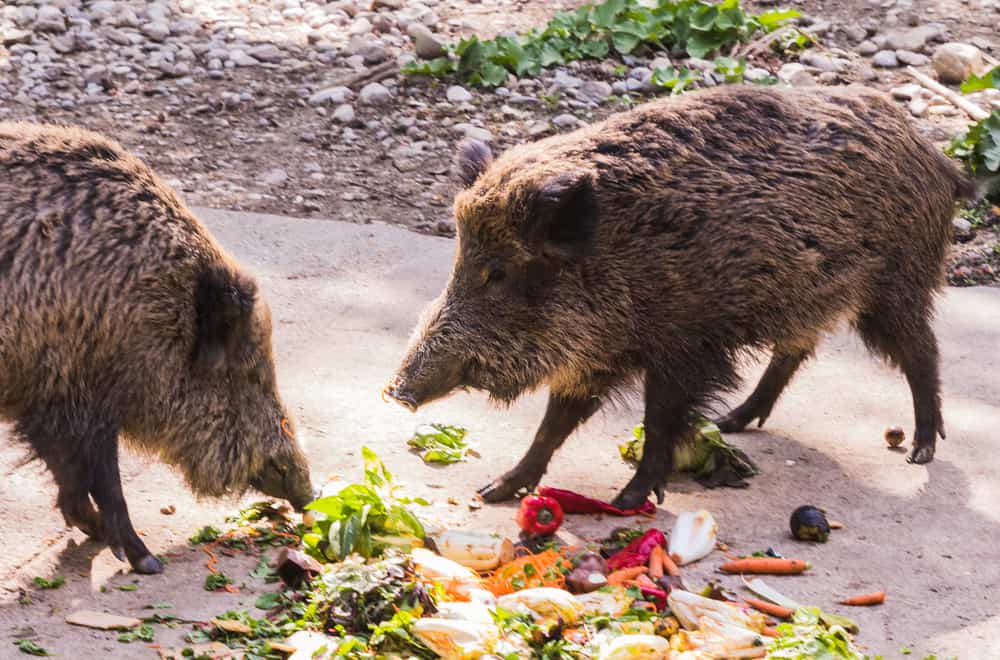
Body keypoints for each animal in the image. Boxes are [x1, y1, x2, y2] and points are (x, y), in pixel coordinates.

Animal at [0, 122, 314, 573]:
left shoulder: (54, 397)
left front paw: (100, 536)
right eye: (252, 374)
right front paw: (145, 561)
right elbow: (104, 481)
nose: (310, 493)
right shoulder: (75, 397)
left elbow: (74, 477)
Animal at [385, 85, 973, 510]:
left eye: (499, 272)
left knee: (922, 352)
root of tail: (939, 160)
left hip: (895, 285)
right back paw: (735, 421)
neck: (616, 255)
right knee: (796, 350)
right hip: (811, 297)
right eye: (459, 261)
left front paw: (628, 498)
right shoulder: (597, 354)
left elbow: (659, 420)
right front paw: (494, 490)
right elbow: (555, 423)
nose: (396, 392)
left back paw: (920, 451)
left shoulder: (684, 347)